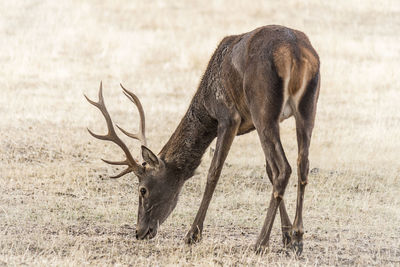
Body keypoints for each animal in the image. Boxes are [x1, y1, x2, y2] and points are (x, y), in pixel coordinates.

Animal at [85, 25, 322, 255]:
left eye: (142, 189)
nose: (139, 232)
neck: (206, 107)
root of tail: (296, 53)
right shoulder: (253, 124)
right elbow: (268, 171)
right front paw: (286, 236)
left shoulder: (228, 117)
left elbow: (213, 172)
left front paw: (193, 234)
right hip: (307, 107)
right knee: (302, 164)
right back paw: (298, 238)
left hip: (263, 108)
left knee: (284, 168)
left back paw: (260, 243)